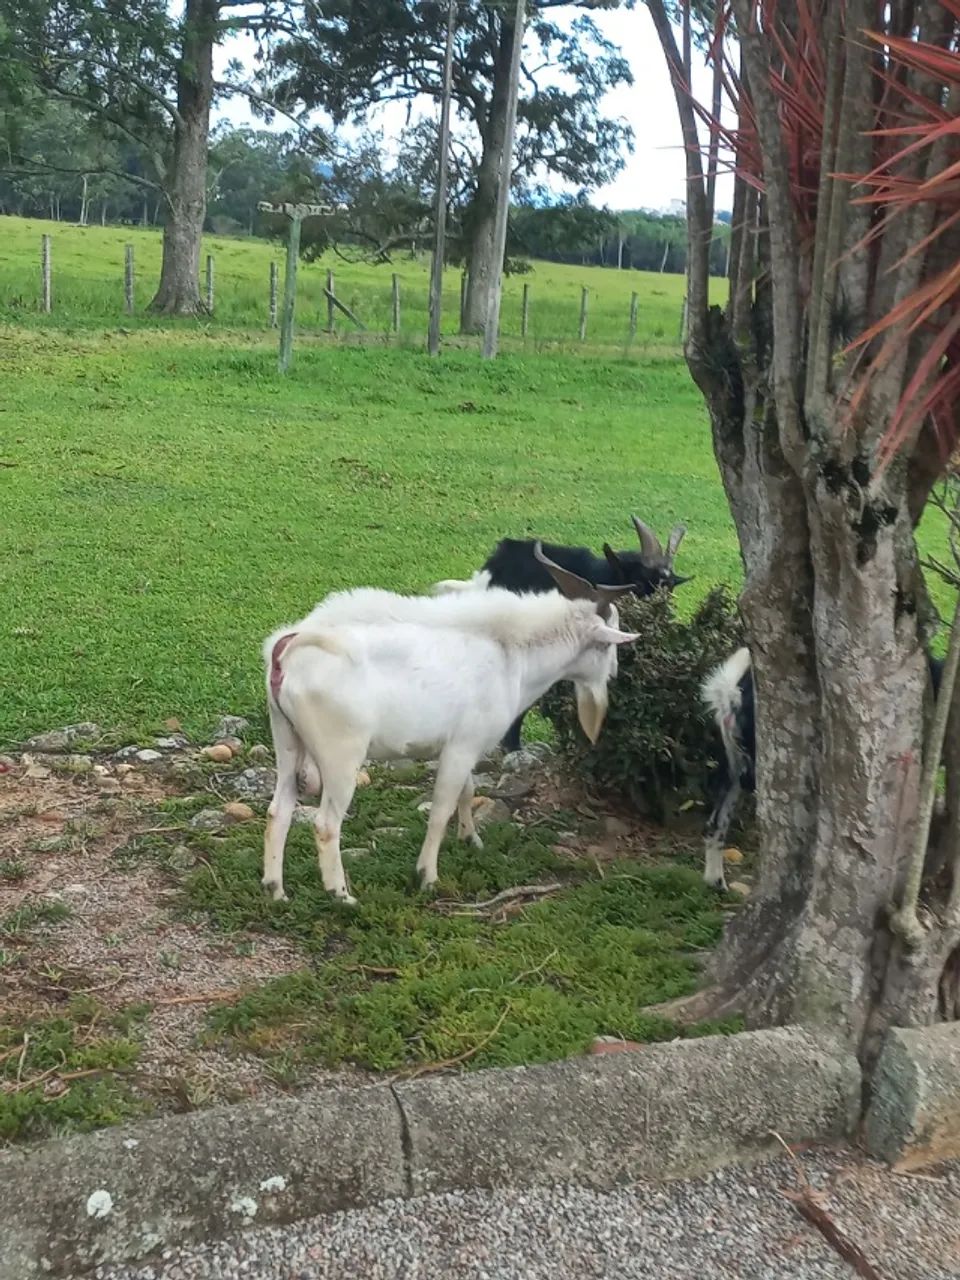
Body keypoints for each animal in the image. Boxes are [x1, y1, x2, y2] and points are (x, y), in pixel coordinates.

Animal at [262, 545, 639, 904]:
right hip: (341, 754)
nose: (614, 674)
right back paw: (340, 894)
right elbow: (441, 810)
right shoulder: (461, 747)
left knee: (278, 810)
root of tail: (287, 652)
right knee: (327, 823)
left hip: (287, 739)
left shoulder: (464, 744)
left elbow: (467, 791)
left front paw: (472, 839)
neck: (510, 653)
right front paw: (427, 876)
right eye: (607, 645)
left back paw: (276, 890)